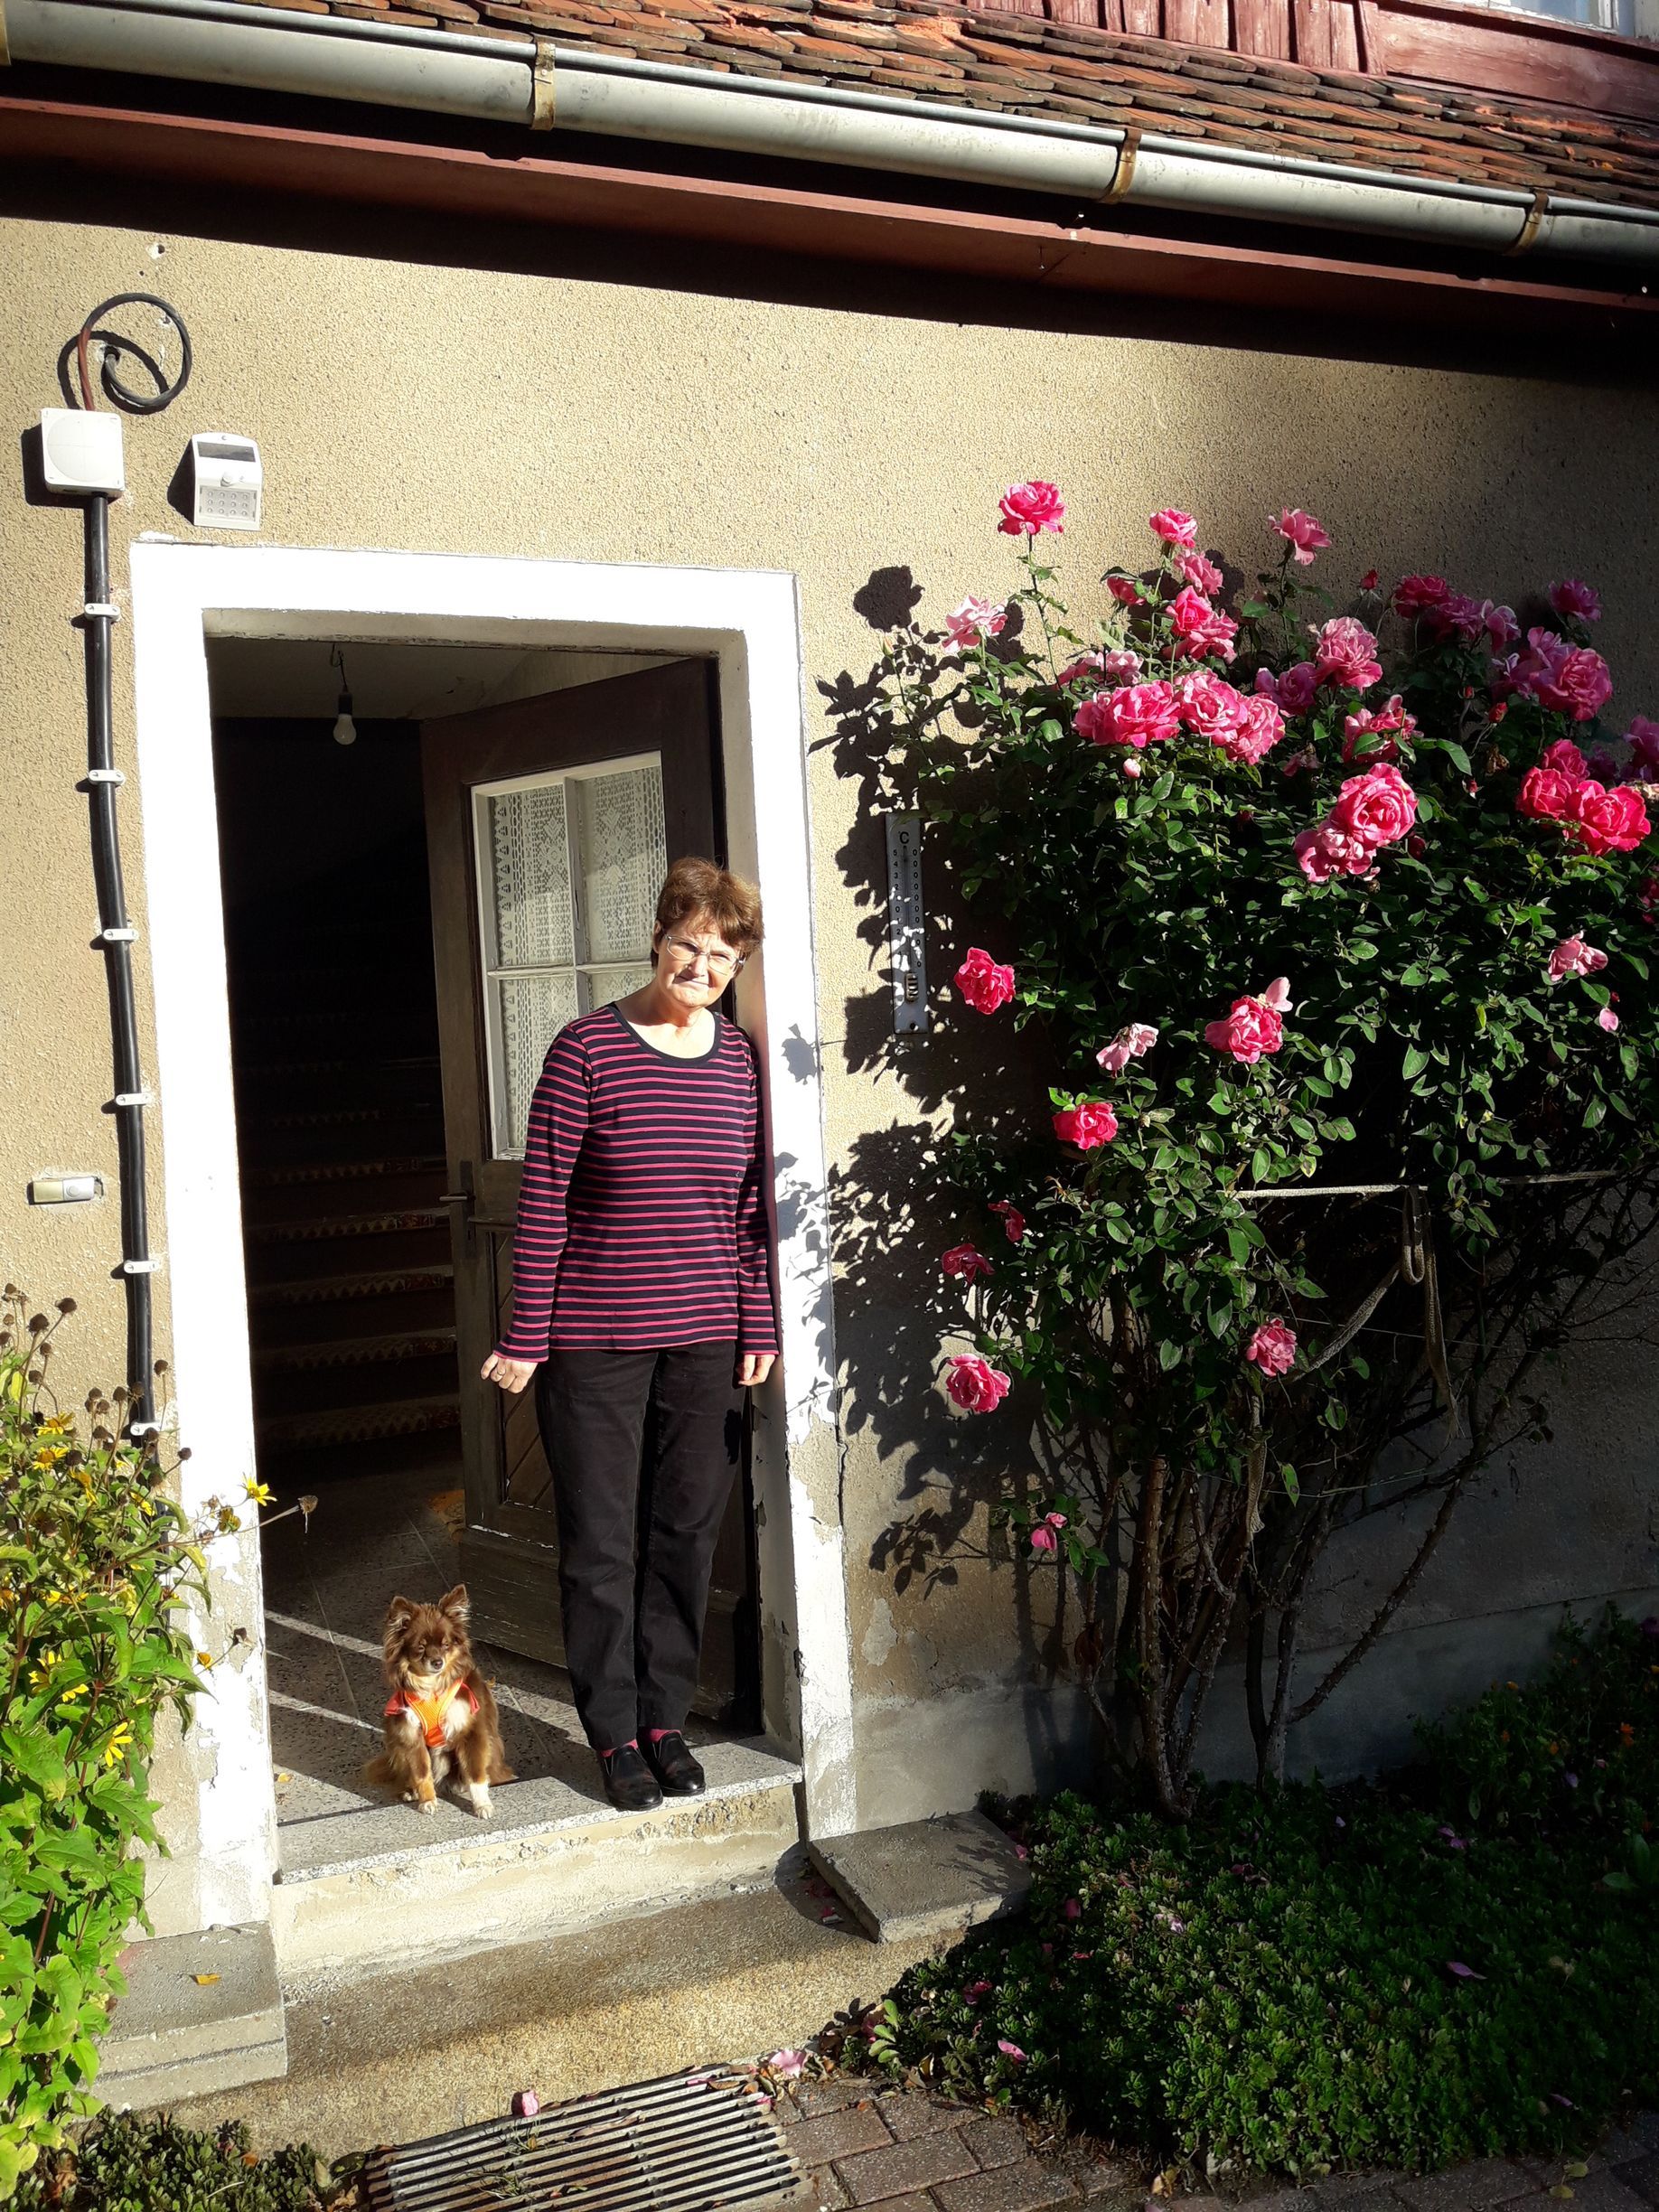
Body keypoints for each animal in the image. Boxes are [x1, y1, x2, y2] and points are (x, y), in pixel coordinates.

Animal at [363, 1584, 515, 1818]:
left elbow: (476, 1774)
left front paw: (482, 1805)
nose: (437, 1662)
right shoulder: (410, 1733)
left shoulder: (471, 1732)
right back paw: (410, 1791)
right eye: (421, 1647)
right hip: (397, 1742)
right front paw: (428, 1801)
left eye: (446, 1645)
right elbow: (422, 1773)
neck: (432, 1687)